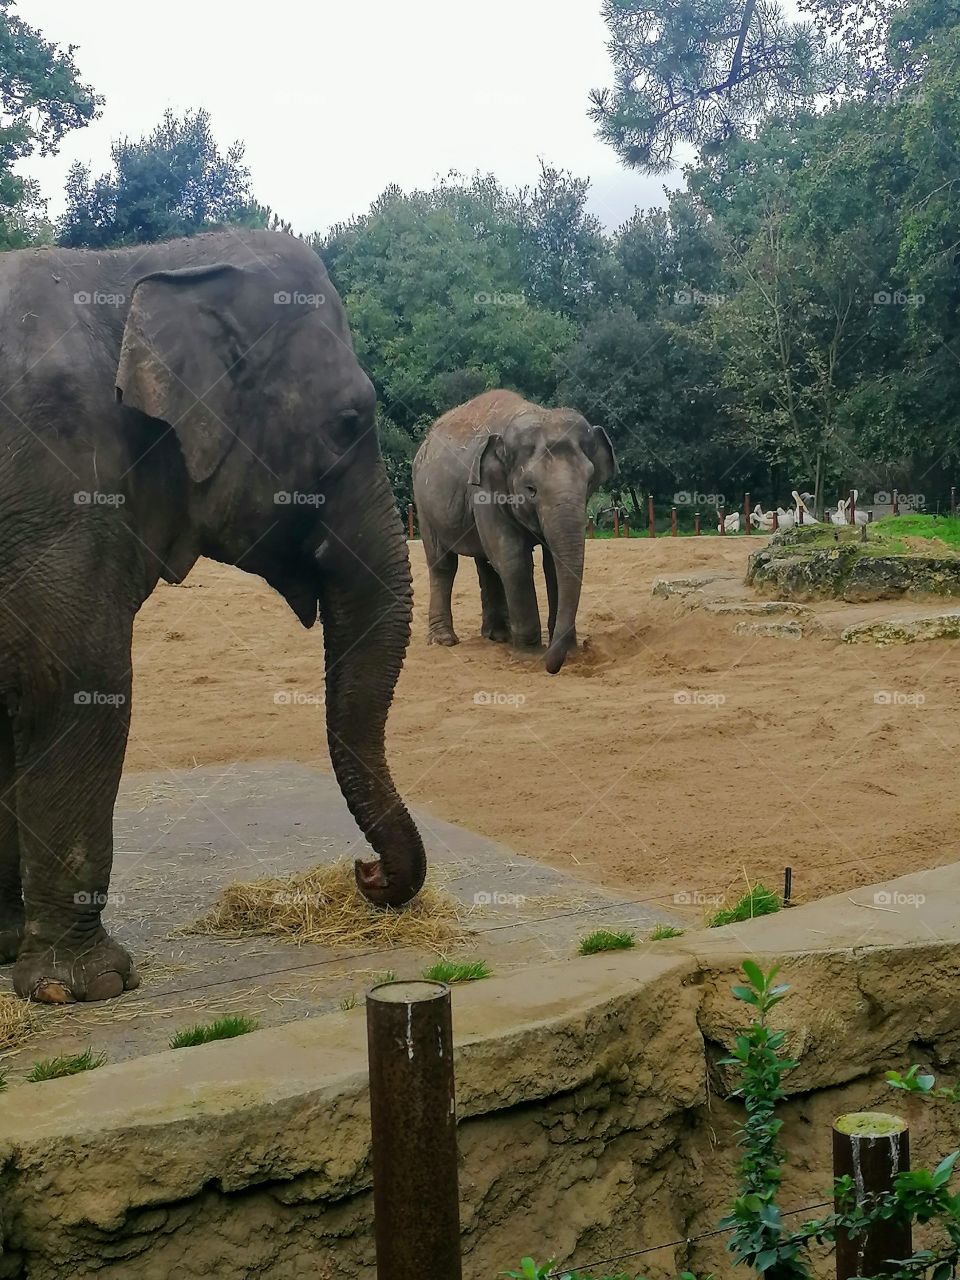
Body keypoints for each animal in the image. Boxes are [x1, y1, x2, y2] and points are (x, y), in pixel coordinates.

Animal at [0, 230, 426, 1003]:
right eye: (348, 422)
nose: (367, 873)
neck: (137, 266)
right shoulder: (59, 490)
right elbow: (78, 687)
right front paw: (85, 987)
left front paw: (15, 958)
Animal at [412, 390, 616, 673]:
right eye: (530, 489)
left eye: (588, 483)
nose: (553, 668)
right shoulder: (483, 490)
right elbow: (514, 559)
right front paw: (529, 656)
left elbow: (551, 563)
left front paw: (568, 651)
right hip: (423, 504)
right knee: (443, 564)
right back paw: (445, 641)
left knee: (486, 564)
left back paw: (498, 637)